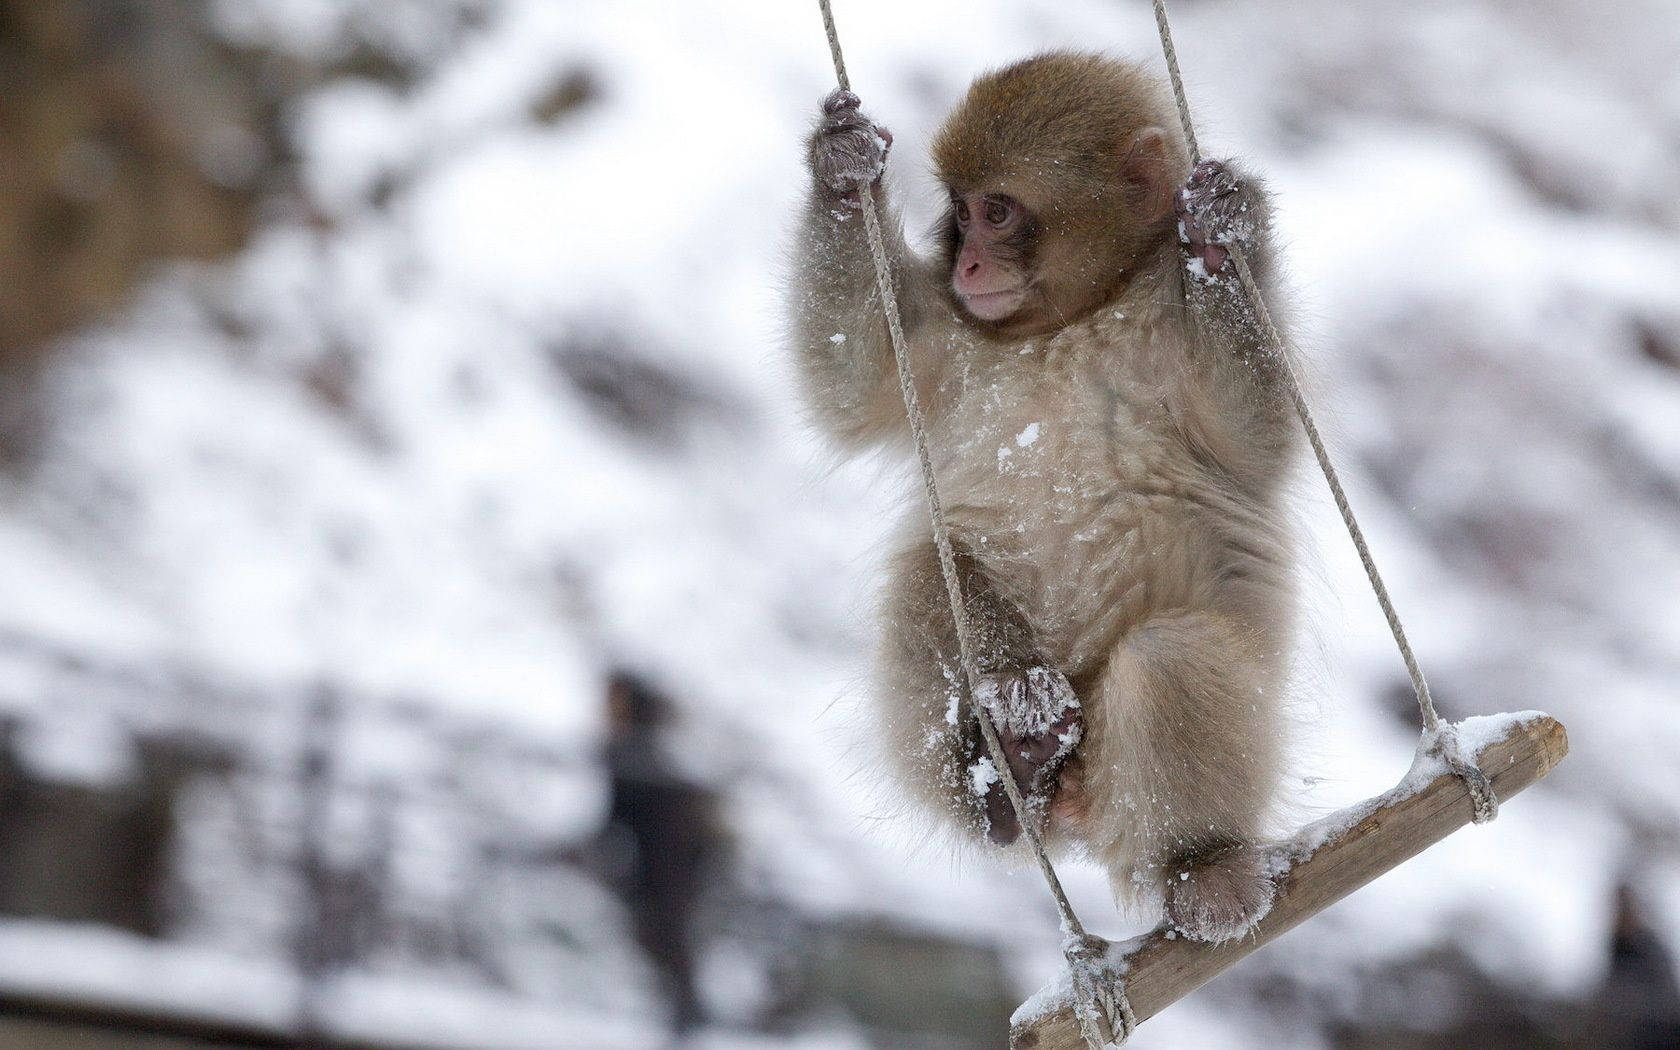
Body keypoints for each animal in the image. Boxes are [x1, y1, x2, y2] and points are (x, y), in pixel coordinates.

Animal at [788, 52, 1298, 944]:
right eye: (960, 213)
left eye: (997, 211)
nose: (968, 265)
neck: (1074, 318)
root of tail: (1080, 814)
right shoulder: (953, 338)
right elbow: (854, 378)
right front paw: (843, 169)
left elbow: (1255, 439)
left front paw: (1218, 236)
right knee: (932, 571)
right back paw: (1011, 768)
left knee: (1168, 659)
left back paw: (1201, 865)